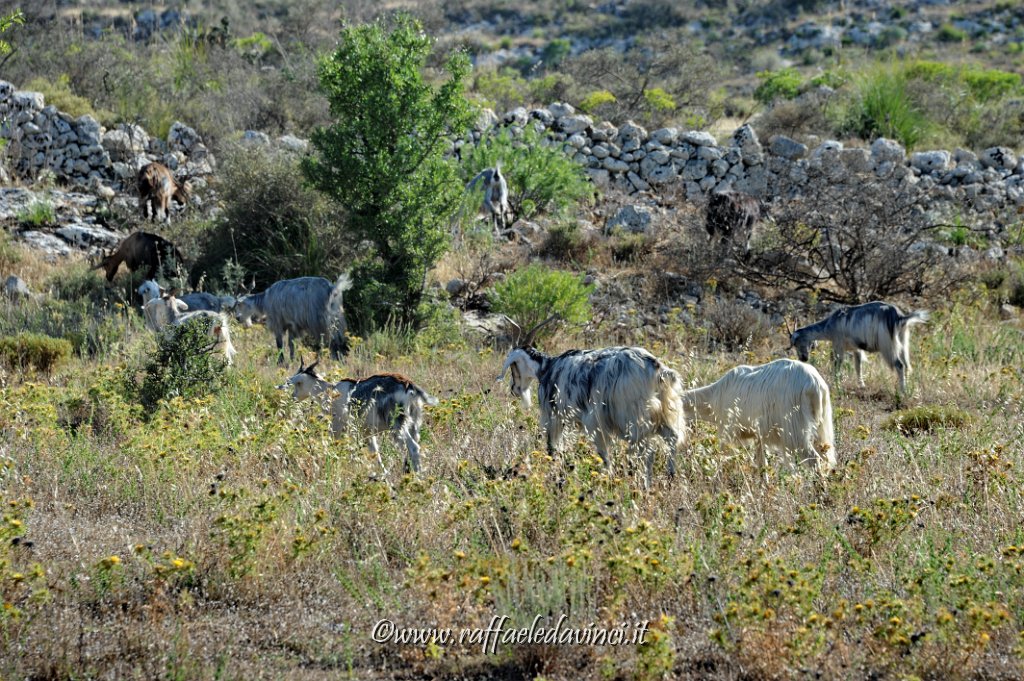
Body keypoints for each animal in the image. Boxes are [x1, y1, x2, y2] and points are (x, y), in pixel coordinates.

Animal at [278, 356, 438, 473]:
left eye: (296, 382)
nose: (290, 396)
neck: (331, 392)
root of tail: (409, 385)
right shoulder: (367, 433)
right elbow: (376, 455)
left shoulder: (338, 430)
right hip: (414, 426)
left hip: (397, 427)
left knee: (413, 448)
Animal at [679, 356, 831, 477]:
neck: (714, 396)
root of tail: (815, 385)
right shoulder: (758, 435)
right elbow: (762, 466)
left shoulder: (729, 429)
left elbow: (721, 458)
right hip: (820, 426)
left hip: (795, 429)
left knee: (814, 460)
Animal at [786, 301, 933, 391]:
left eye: (796, 342)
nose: (803, 358)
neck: (829, 326)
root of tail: (899, 317)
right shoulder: (856, 348)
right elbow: (858, 365)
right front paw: (861, 385)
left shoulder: (838, 344)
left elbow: (837, 364)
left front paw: (836, 385)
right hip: (903, 341)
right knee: (907, 364)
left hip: (887, 345)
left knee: (899, 364)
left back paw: (902, 391)